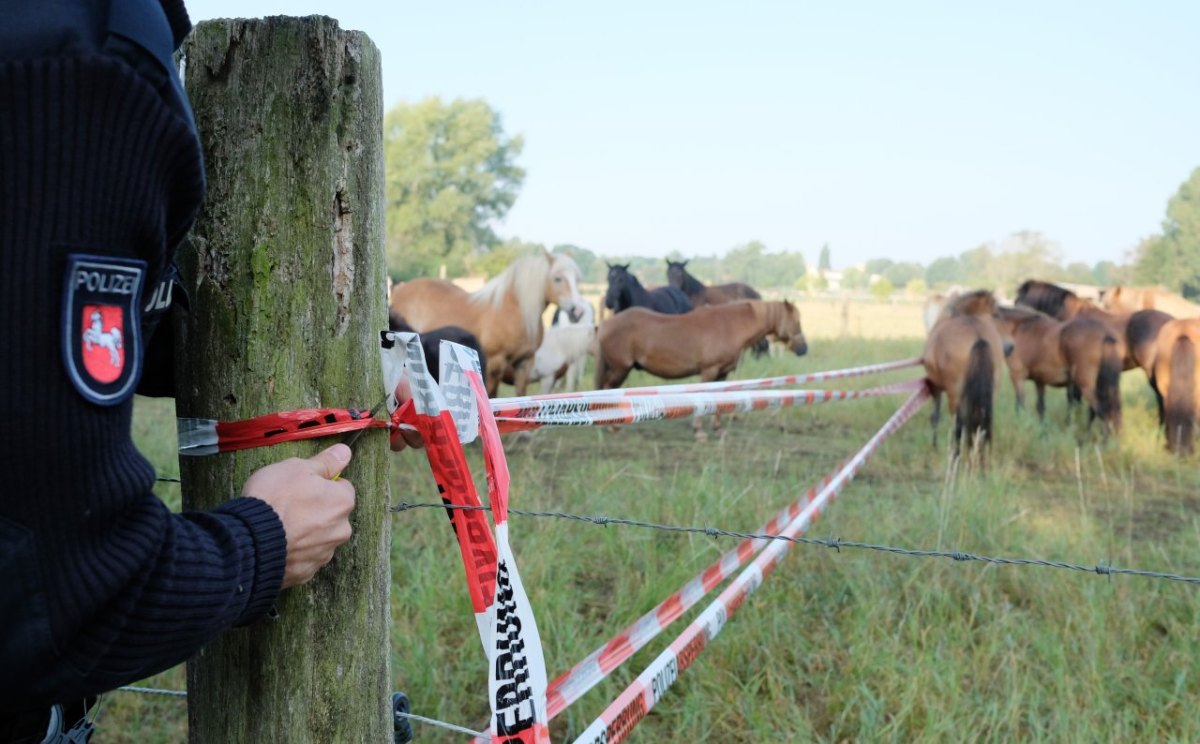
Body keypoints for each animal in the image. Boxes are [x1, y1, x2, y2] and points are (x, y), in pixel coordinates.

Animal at [388, 249, 585, 398]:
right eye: (558, 278)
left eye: (577, 279)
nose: (578, 311)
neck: (513, 311)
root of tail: (399, 291)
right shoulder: (496, 363)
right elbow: (492, 395)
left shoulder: (524, 363)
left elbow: (521, 394)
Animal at [597, 301, 811, 439]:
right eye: (796, 322)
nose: (804, 349)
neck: (730, 326)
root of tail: (606, 324)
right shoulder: (709, 372)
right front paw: (699, 431)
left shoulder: (722, 375)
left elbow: (719, 402)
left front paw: (718, 430)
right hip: (620, 369)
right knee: (606, 390)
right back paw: (612, 426)